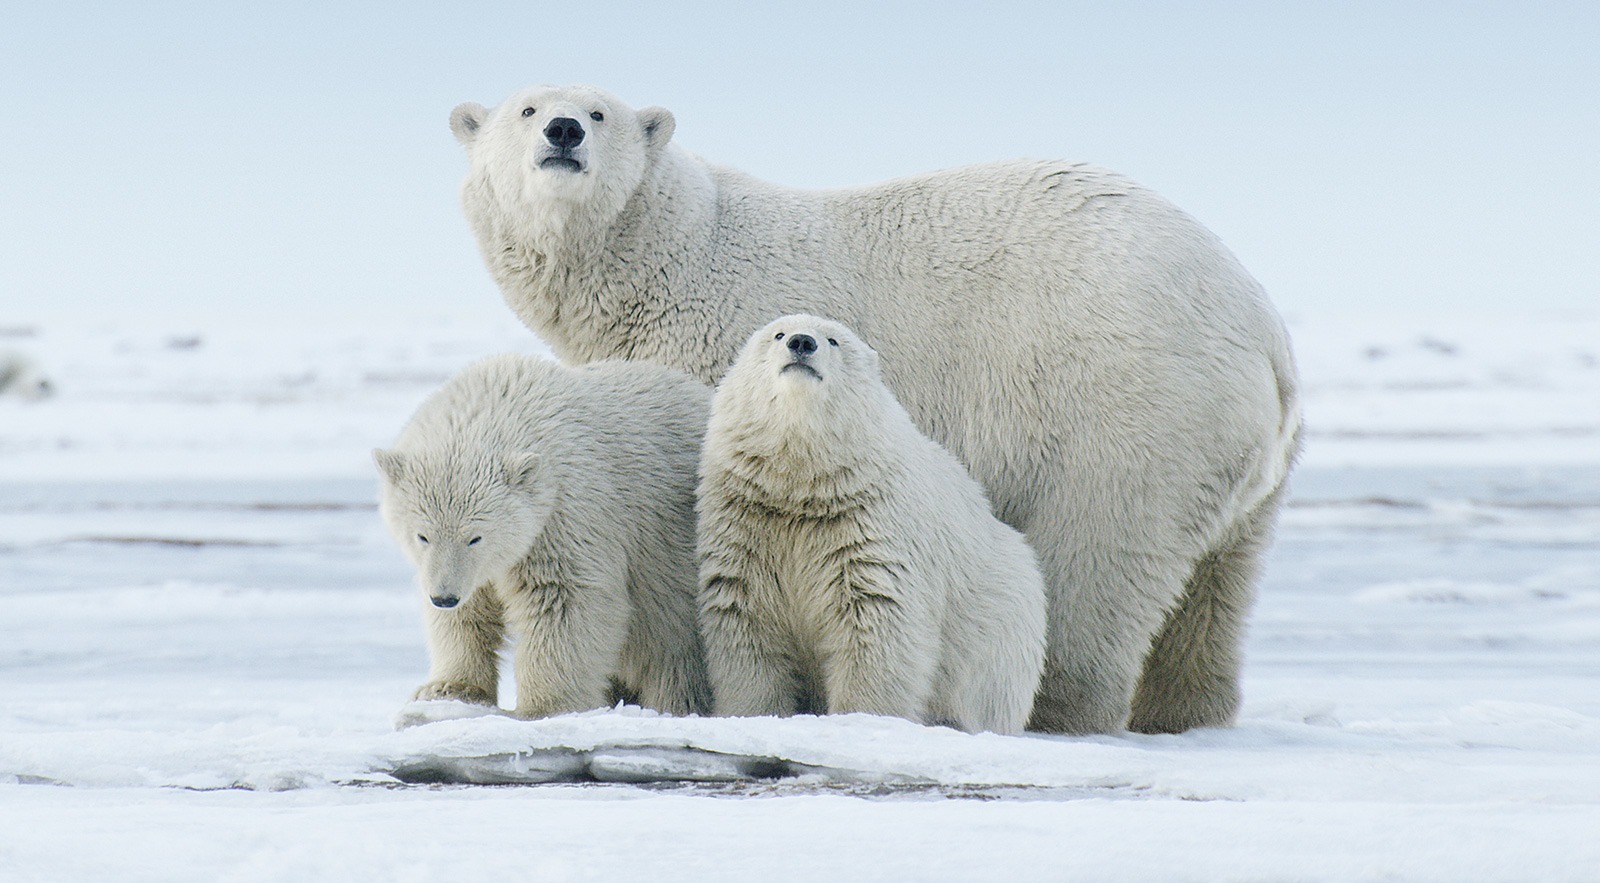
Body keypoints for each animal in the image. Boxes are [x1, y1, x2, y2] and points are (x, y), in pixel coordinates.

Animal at [374, 351, 713, 716]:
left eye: (475, 537)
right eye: (422, 536)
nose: (444, 597)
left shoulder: (565, 512)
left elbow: (563, 597)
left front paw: (545, 706)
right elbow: (470, 611)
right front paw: (448, 688)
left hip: (670, 555)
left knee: (673, 647)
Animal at [700, 313, 1049, 735]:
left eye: (833, 340)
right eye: (777, 334)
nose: (802, 343)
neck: (803, 489)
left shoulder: (869, 530)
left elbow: (875, 624)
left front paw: (863, 719)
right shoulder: (750, 524)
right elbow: (745, 621)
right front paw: (755, 715)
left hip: (1004, 623)